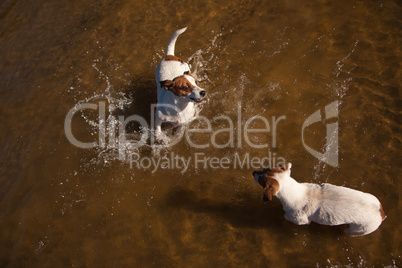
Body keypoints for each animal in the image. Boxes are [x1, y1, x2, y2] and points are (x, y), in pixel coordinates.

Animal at [254, 163, 386, 237]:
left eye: (261, 181)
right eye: (264, 168)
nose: (253, 172)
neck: (296, 191)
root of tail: (381, 213)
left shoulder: (299, 220)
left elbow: (287, 216)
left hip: (358, 230)